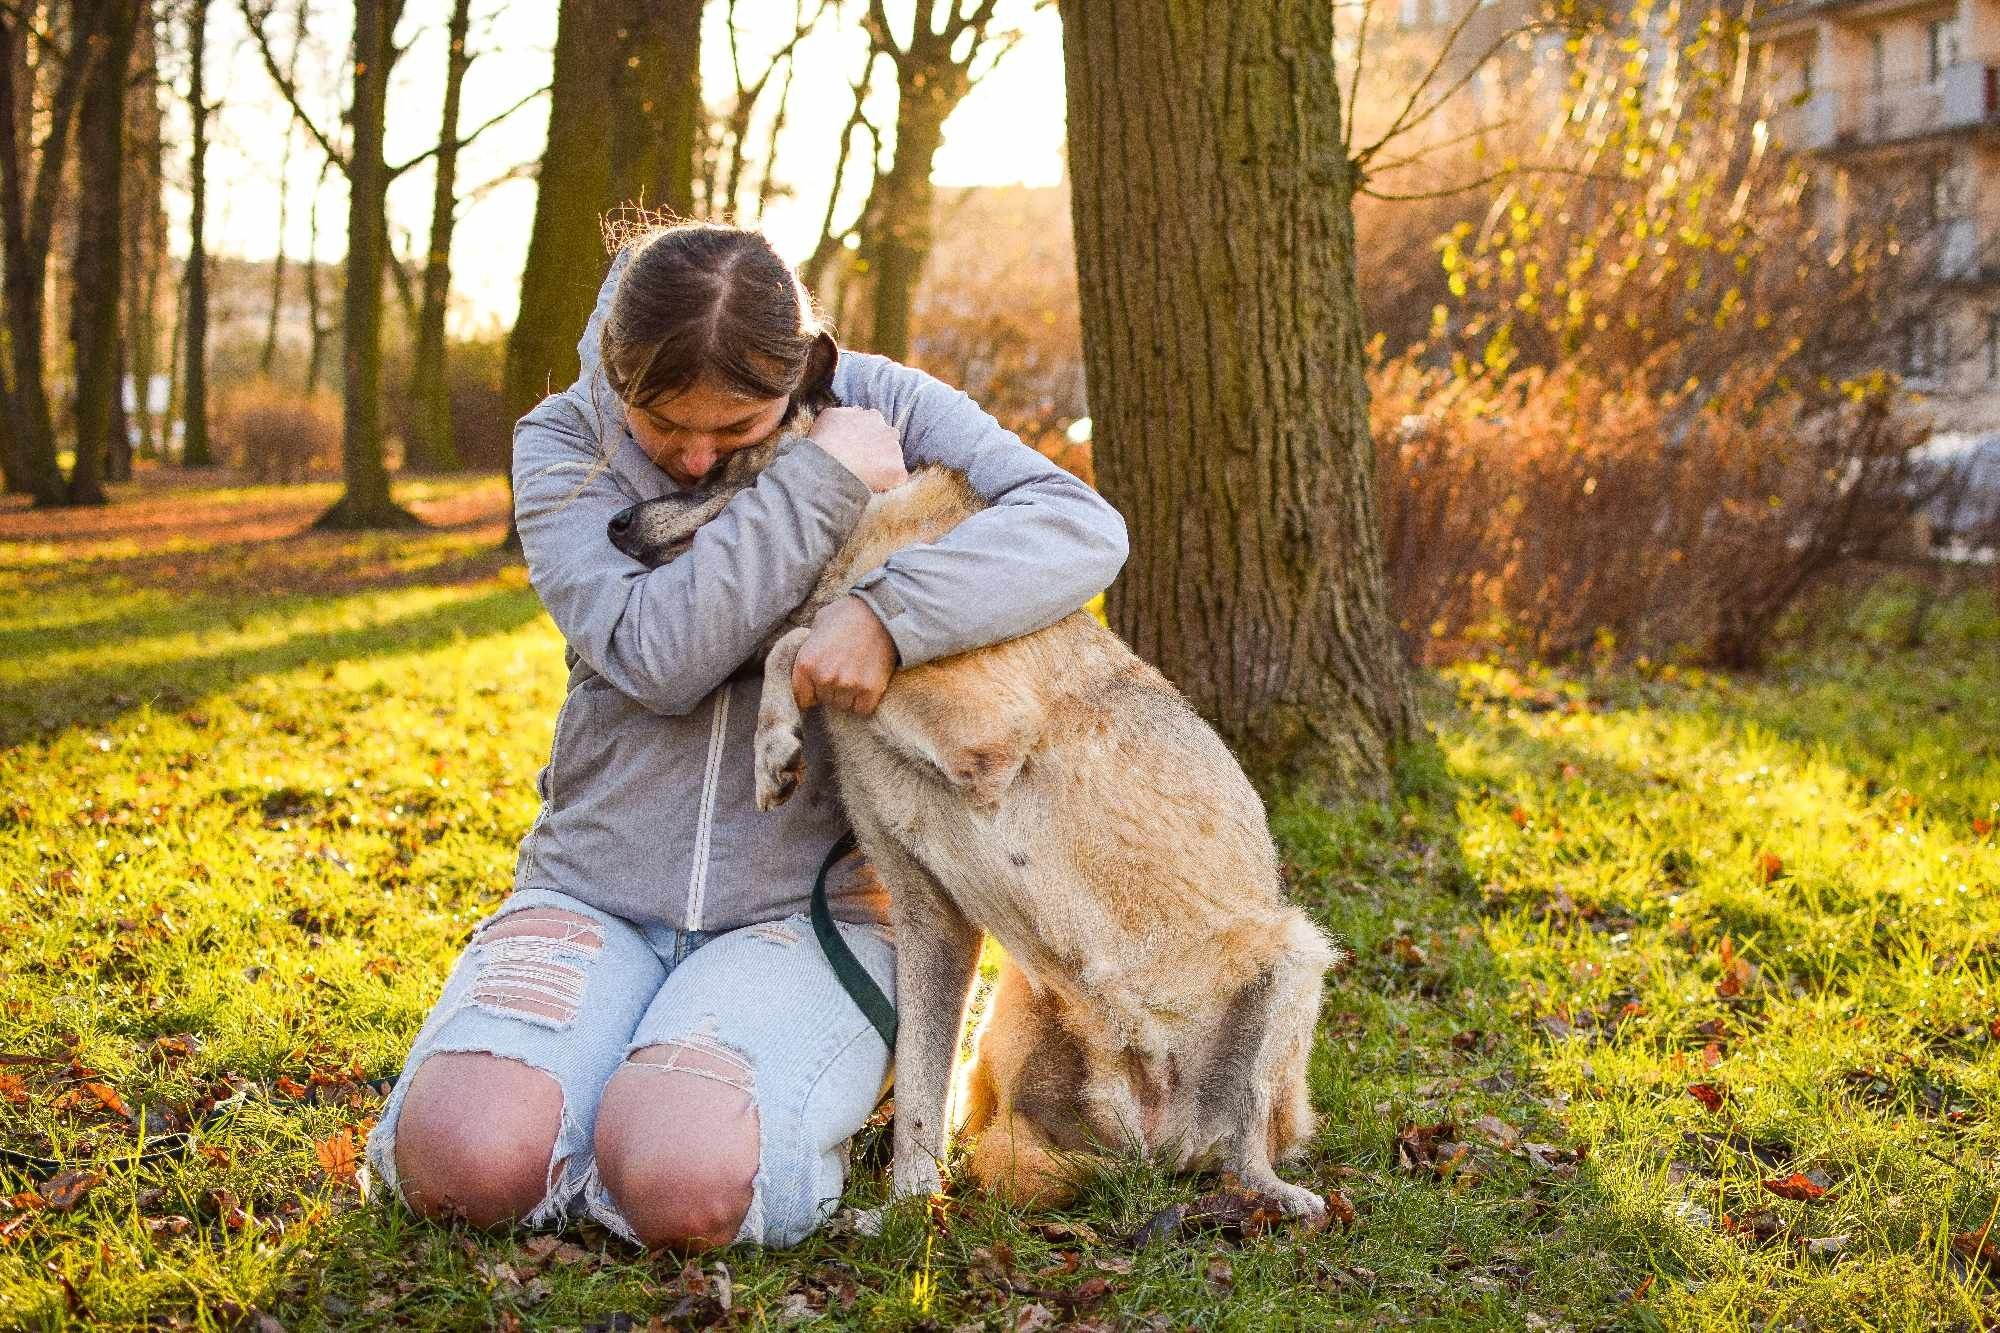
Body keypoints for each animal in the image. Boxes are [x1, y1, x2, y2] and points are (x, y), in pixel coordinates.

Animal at [600, 412, 1336, 1216]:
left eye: (720, 466)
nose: (614, 522)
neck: (877, 528)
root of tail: (1155, 1143)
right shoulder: (931, 916)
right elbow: (921, 1094)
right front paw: (908, 1209)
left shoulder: (973, 727)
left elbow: (805, 636)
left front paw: (773, 745)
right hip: (1013, 1026)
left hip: (1296, 956)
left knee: (1244, 1147)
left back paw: (1282, 1196)